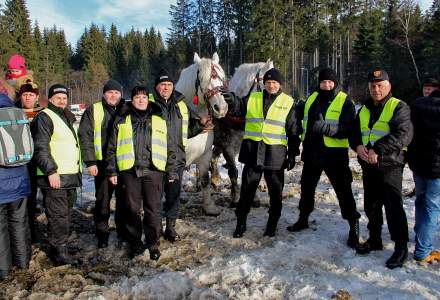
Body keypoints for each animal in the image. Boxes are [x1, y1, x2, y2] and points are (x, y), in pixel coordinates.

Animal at [175, 52, 229, 216]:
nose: (221, 108)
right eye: (203, 80)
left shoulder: (205, 156)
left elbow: (205, 179)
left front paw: (209, 207)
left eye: (222, 78)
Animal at [211, 59, 274, 206]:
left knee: (213, 157)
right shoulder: (228, 147)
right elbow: (233, 172)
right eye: (267, 85)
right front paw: (234, 197)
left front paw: (255, 197)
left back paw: (215, 180)